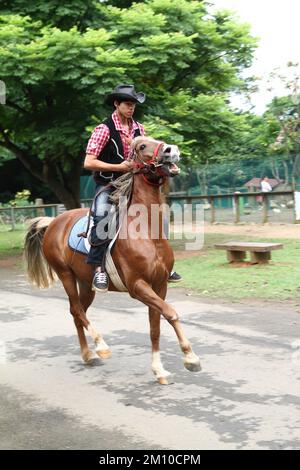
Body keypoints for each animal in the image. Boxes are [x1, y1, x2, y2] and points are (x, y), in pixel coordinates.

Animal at [24, 134, 202, 384]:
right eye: (142, 146)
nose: (171, 150)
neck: (147, 233)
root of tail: (53, 223)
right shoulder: (138, 286)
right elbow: (171, 313)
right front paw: (191, 358)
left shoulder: (159, 286)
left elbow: (155, 327)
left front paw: (159, 369)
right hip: (65, 274)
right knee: (77, 310)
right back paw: (101, 347)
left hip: (85, 283)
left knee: (77, 312)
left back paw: (89, 356)